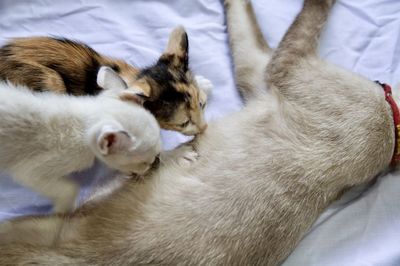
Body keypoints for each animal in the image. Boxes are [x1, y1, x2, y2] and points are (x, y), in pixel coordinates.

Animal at [0, 66, 161, 214]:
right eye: (144, 162)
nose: (157, 161)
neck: (82, 119)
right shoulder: (29, 172)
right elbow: (70, 189)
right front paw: (62, 212)